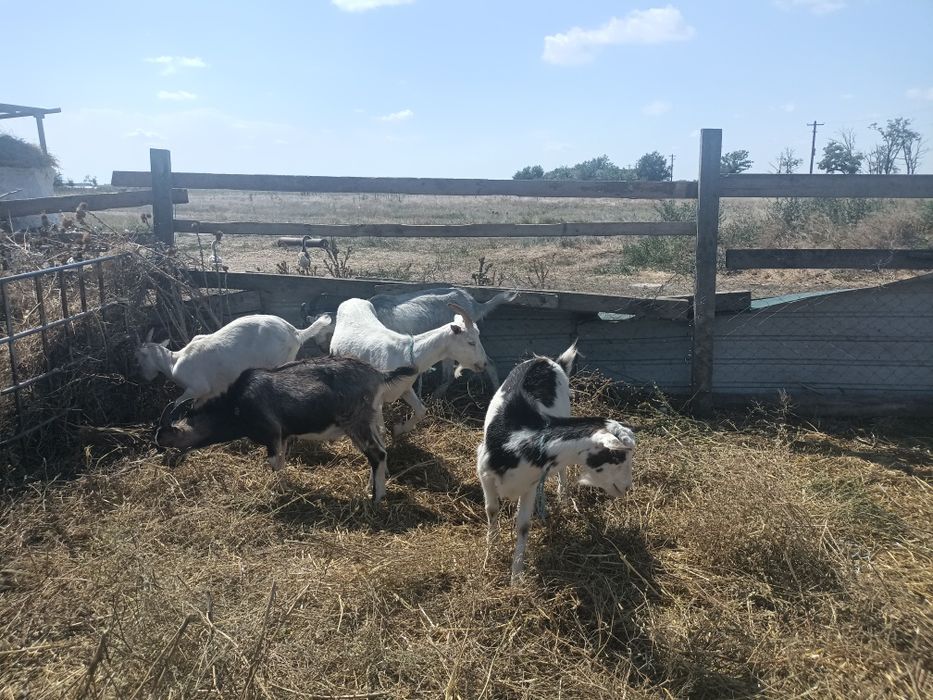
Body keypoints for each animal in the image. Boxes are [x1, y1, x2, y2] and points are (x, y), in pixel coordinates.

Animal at [136, 313, 333, 409]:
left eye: (140, 358)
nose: (145, 378)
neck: (173, 362)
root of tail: (295, 333)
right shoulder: (209, 392)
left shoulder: (197, 387)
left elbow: (177, 403)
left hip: (276, 361)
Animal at [155, 357, 416, 500]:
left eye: (168, 444)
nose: (167, 464)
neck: (236, 404)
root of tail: (378, 374)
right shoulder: (284, 436)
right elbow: (281, 460)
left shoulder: (271, 434)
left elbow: (274, 463)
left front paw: (280, 491)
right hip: (369, 419)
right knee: (381, 450)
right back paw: (370, 486)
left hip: (356, 422)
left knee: (377, 453)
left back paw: (376, 497)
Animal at [329, 297, 488, 436]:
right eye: (471, 342)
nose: (484, 363)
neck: (407, 354)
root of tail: (351, 300)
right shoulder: (376, 397)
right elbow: (381, 431)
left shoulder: (405, 388)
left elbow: (421, 411)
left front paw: (399, 429)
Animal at [476, 342, 636, 584]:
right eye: (618, 457)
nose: (626, 487)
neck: (518, 440)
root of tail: (547, 360)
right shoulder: (484, 472)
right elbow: (492, 510)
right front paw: (490, 553)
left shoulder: (529, 485)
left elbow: (523, 526)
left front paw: (516, 577)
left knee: (562, 471)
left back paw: (563, 496)